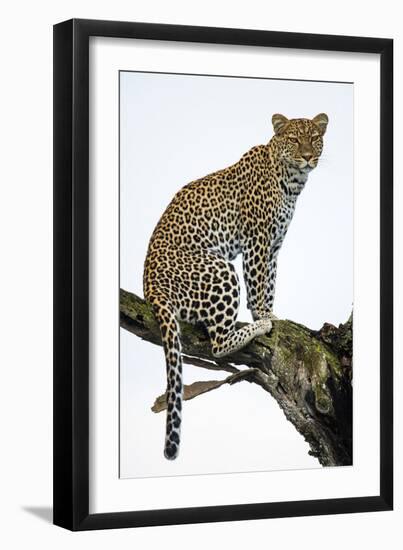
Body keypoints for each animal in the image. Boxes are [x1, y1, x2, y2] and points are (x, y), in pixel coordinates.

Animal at [144, 113, 330, 462]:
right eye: (294, 139)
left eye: (315, 138)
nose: (308, 156)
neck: (291, 180)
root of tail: (151, 289)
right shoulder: (257, 239)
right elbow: (258, 284)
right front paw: (264, 317)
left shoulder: (274, 245)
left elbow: (270, 282)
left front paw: (272, 313)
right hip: (220, 268)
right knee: (217, 343)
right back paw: (254, 328)